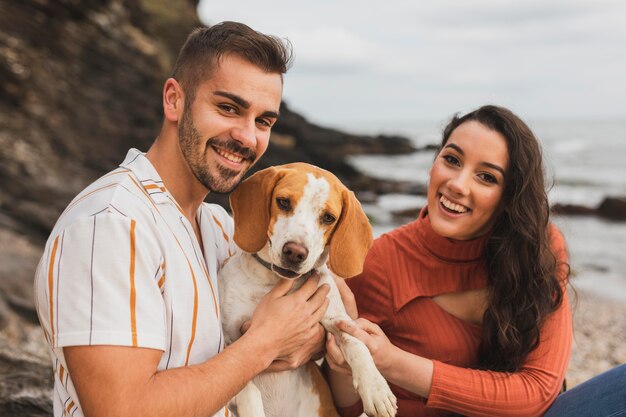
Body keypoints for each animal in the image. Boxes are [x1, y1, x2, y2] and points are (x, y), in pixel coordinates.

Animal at [218, 163, 394, 416]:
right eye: (283, 202)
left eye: (328, 217)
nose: (295, 252)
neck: (273, 283)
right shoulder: (228, 341)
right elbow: (247, 386)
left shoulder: (337, 319)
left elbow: (357, 344)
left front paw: (377, 389)